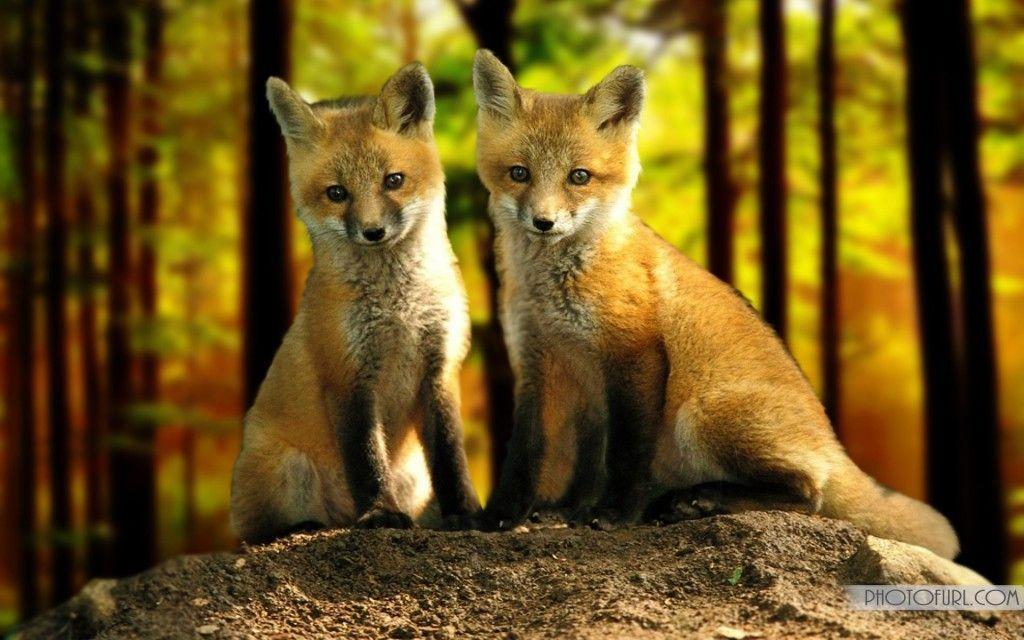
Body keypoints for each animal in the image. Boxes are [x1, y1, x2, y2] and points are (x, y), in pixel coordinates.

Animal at [230, 63, 480, 543]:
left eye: (393, 181)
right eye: (337, 194)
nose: (372, 232)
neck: (399, 308)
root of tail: (339, 518)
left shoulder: (440, 368)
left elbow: (451, 457)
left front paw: (467, 514)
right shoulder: (348, 374)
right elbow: (365, 458)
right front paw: (381, 514)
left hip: (413, 477)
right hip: (285, 470)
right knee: (254, 532)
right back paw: (303, 527)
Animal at [471, 49, 959, 560]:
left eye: (579, 177)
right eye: (519, 173)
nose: (543, 222)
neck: (553, 288)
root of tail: (833, 440)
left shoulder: (635, 355)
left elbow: (625, 454)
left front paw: (614, 515)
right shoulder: (538, 362)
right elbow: (527, 451)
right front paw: (506, 515)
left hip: (700, 415)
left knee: (809, 494)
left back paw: (697, 500)